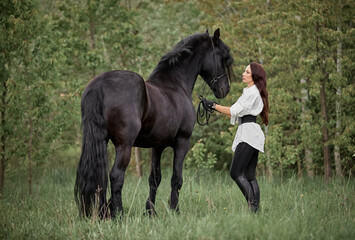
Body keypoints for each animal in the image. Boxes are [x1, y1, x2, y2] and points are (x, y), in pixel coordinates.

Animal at [74, 28, 236, 218]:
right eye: (222, 56)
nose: (225, 89)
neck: (175, 84)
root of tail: (99, 85)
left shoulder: (157, 146)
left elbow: (155, 178)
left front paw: (150, 211)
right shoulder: (182, 142)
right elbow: (176, 178)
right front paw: (175, 210)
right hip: (124, 145)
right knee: (116, 176)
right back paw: (118, 214)